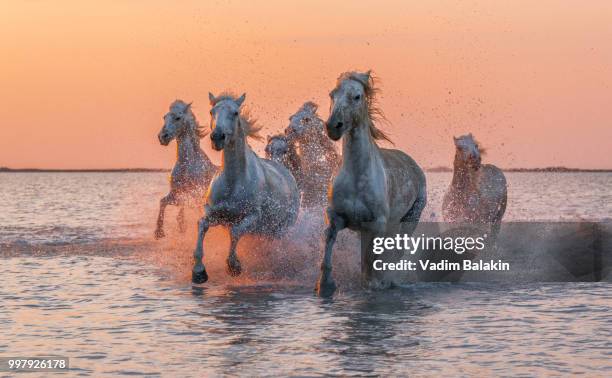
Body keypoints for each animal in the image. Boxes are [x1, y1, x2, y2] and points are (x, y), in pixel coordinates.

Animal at [155, 100, 218, 239]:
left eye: (178, 118)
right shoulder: (177, 193)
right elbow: (163, 202)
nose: (162, 137)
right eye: (164, 117)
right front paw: (159, 232)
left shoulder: (195, 196)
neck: (187, 165)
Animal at [190, 92, 298, 284]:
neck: (233, 184)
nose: (217, 137)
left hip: (281, 229)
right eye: (212, 111)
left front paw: (234, 266)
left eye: (235, 113)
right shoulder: (216, 215)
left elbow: (236, 232)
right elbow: (201, 225)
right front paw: (199, 272)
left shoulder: (252, 216)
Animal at [316, 71, 426, 296]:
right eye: (332, 94)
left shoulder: (376, 225)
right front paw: (325, 285)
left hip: (410, 219)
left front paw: (373, 286)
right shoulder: (337, 216)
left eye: (357, 96)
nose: (333, 127)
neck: (357, 177)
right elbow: (329, 241)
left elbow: (369, 263)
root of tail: (413, 164)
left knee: (397, 250)